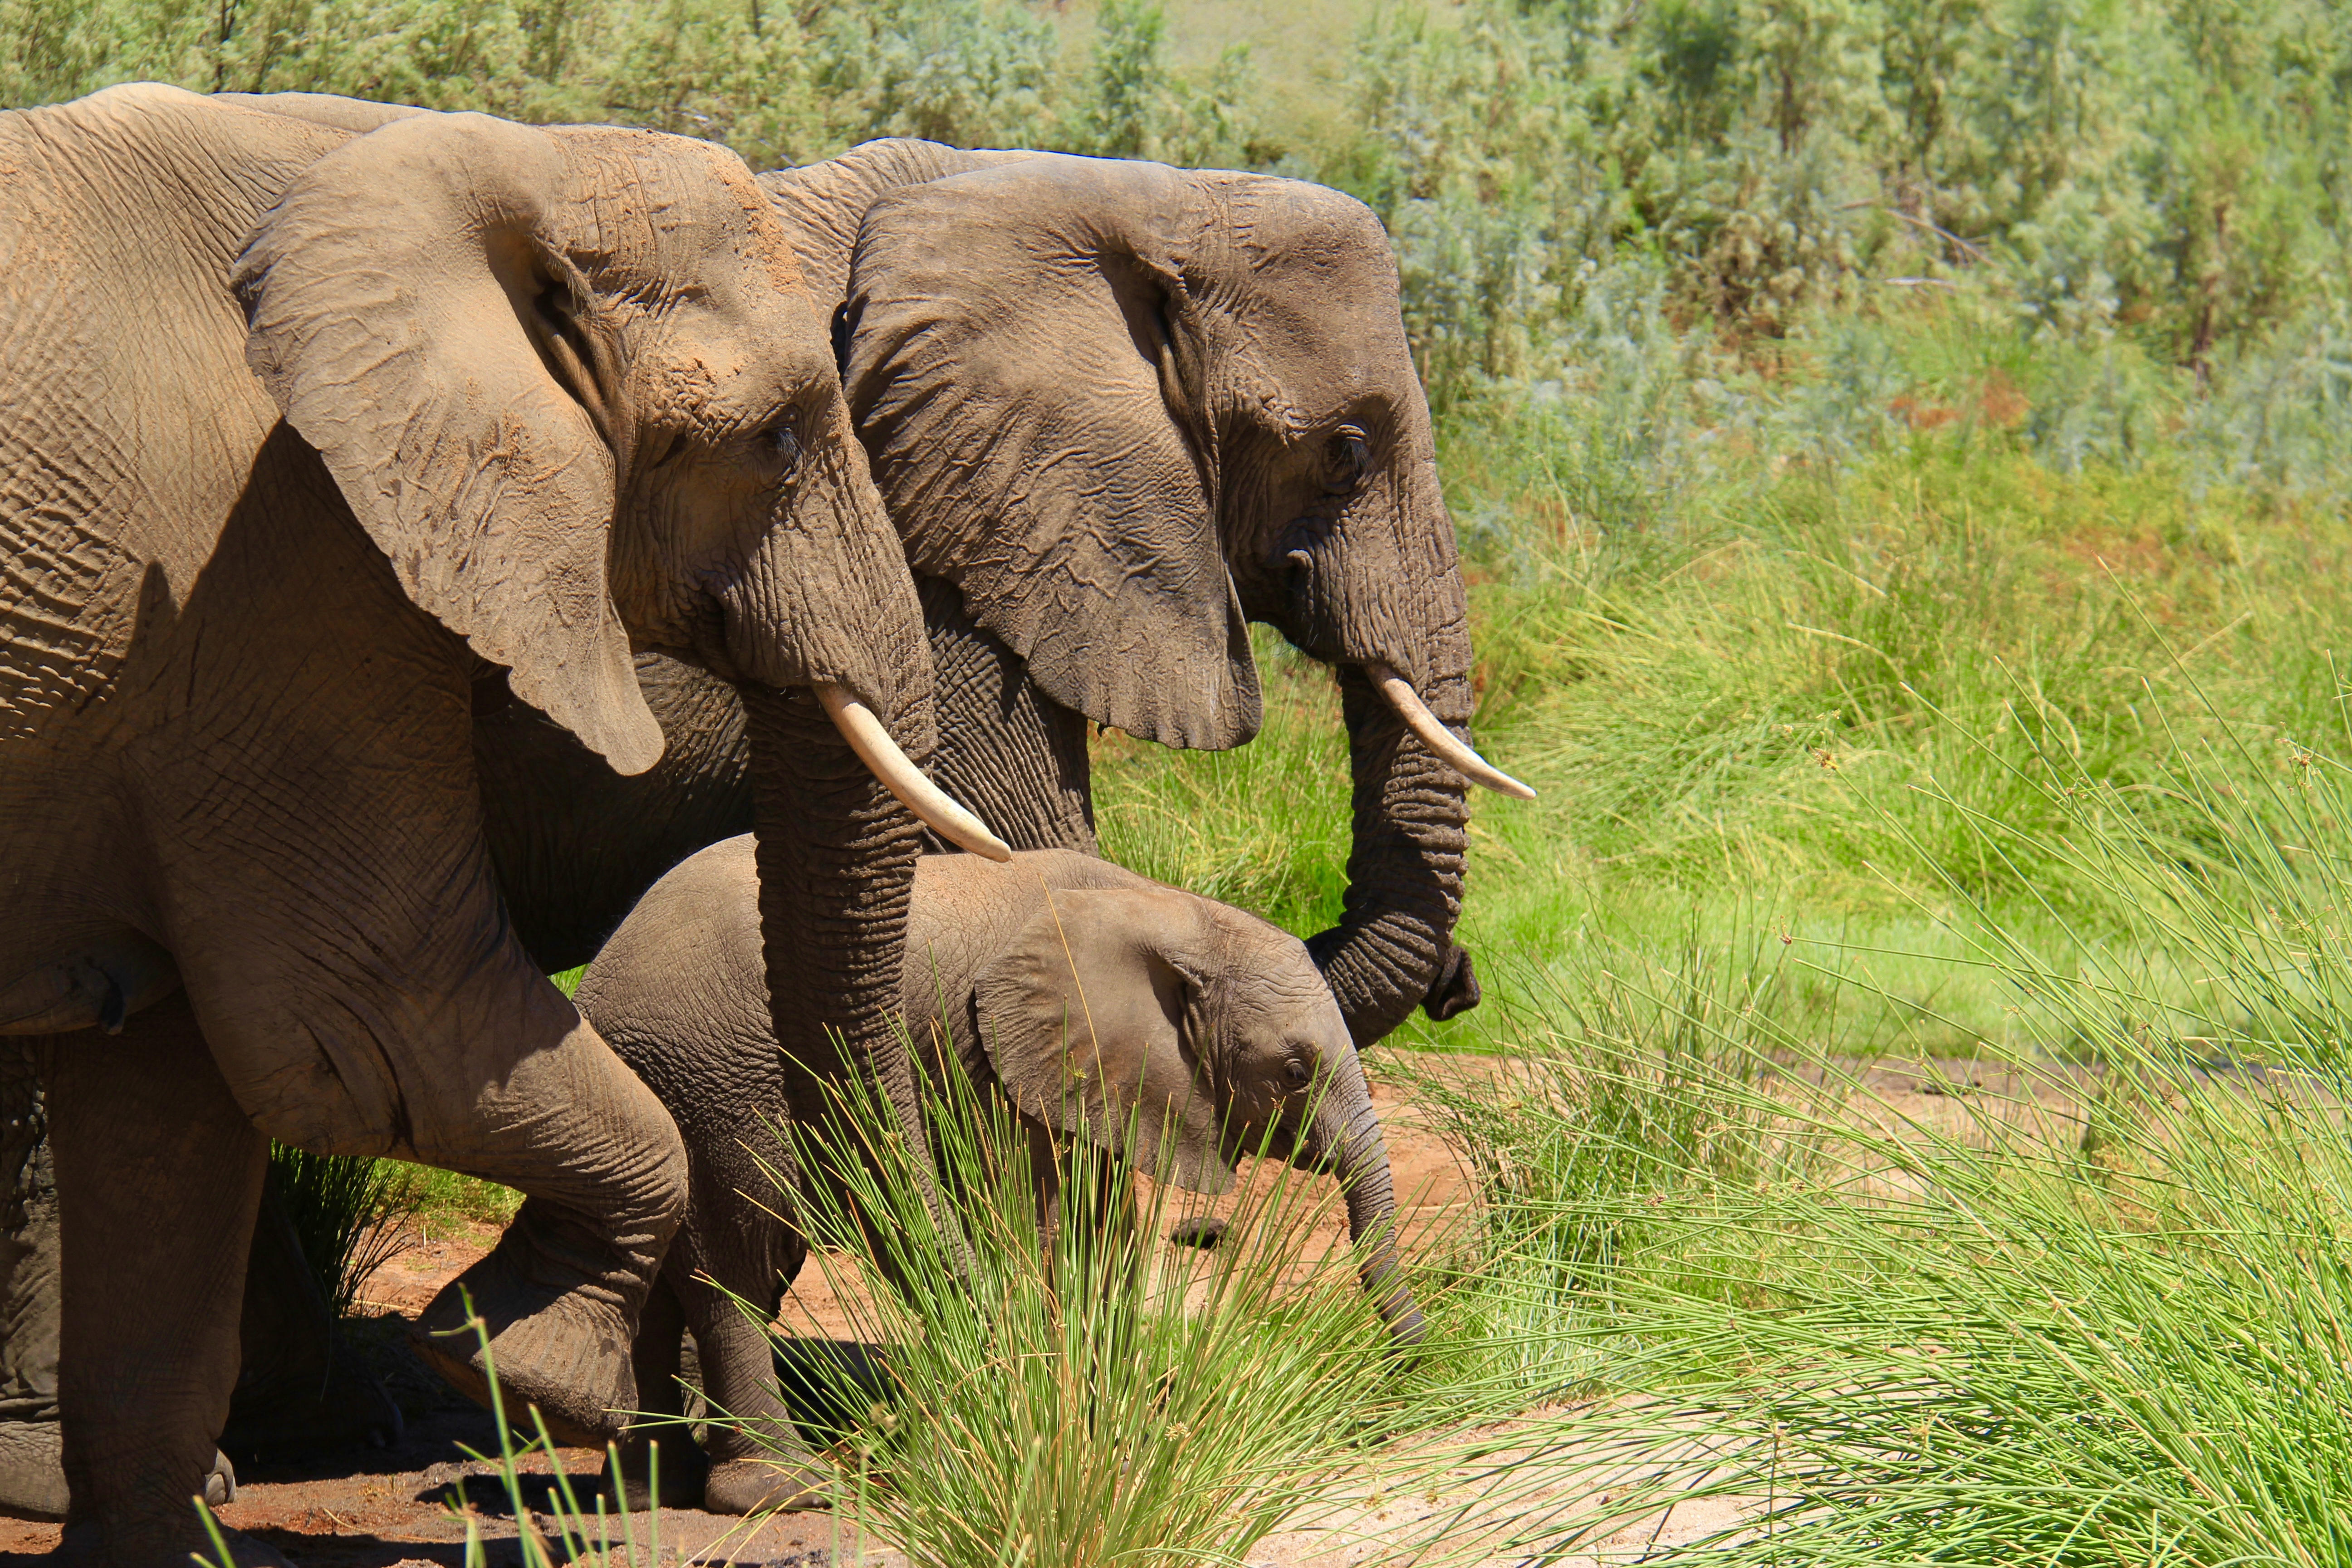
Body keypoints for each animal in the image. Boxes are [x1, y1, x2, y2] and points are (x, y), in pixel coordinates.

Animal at [0, 86, 1003, 1562]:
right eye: (776, 437)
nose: (987, 1372)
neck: (483, 156)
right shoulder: (283, 566)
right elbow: (369, 1020)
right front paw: (517, 1368)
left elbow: (171, 1112)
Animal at [571, 840, 1424, 1514]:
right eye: (1292, 1071)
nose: (1400, 1386)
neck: (1168, 911)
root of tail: (598, 979)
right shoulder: (983, 1052)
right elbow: (1029, 1220)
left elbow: (1100, 1225)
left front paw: (1112, 1419)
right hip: (716, 1079)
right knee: (738, 1269)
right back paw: (781, 1493)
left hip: (667, 1085)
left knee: (661, 1272)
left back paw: (646, 1492)